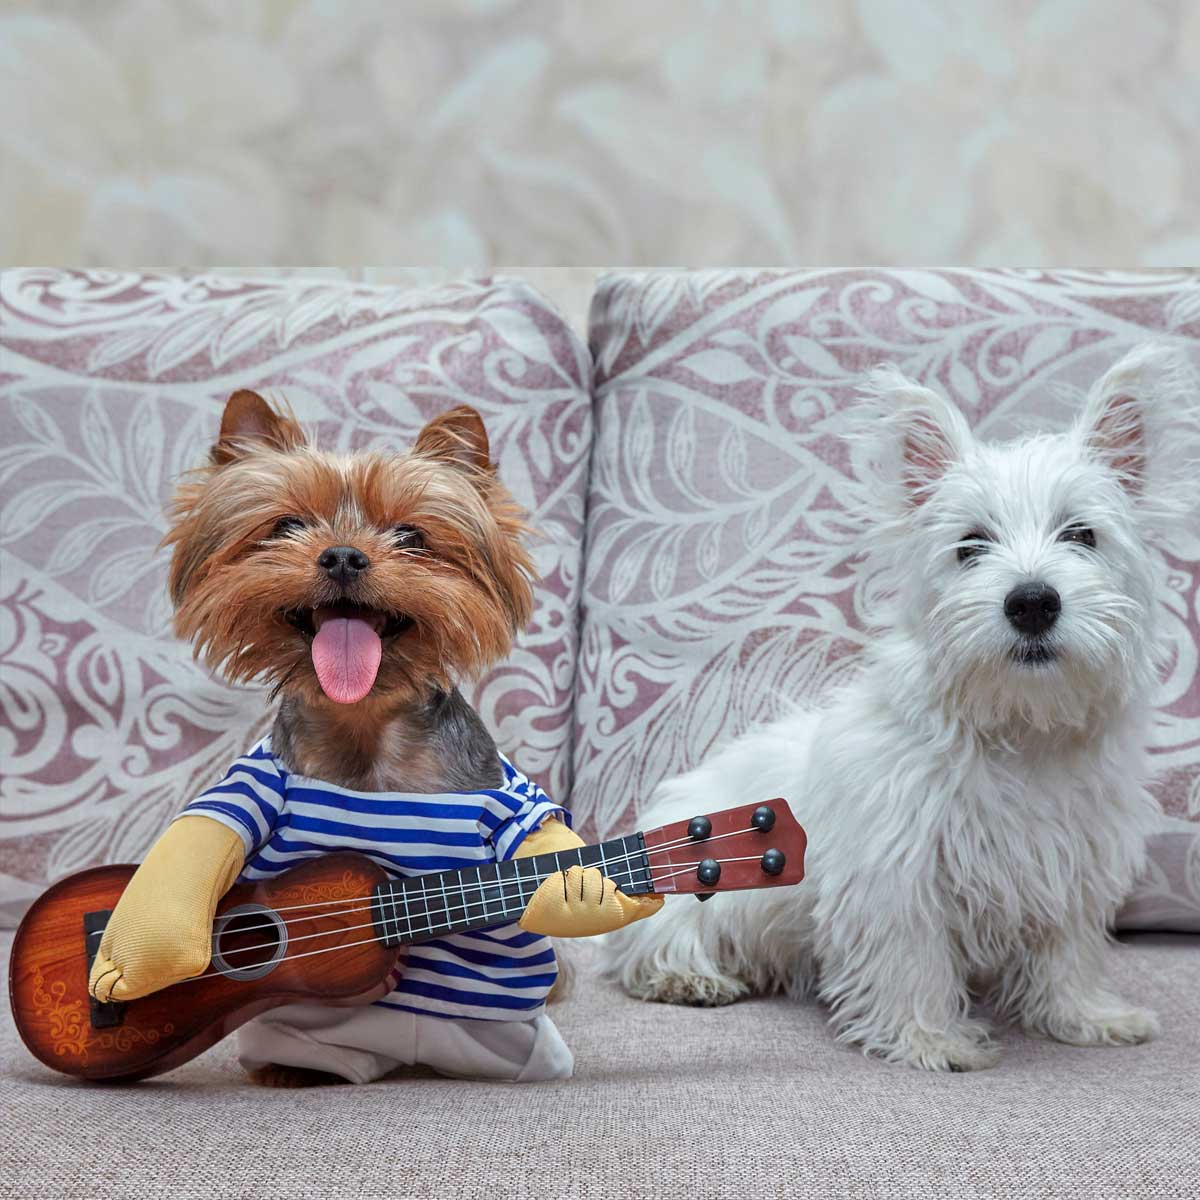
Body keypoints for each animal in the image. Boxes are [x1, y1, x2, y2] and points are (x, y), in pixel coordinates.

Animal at [604, 345, 1200, 1070]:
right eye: (970, 545)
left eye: (1082, 534)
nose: (1032, 601)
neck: (1017, 728)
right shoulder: (896, 872)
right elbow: (910, 960)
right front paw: (931, 1039)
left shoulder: (1069, 867)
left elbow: (1067, 954)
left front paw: (1087, 1016)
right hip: (691, 890)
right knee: (652, 944)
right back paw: (691, 978)